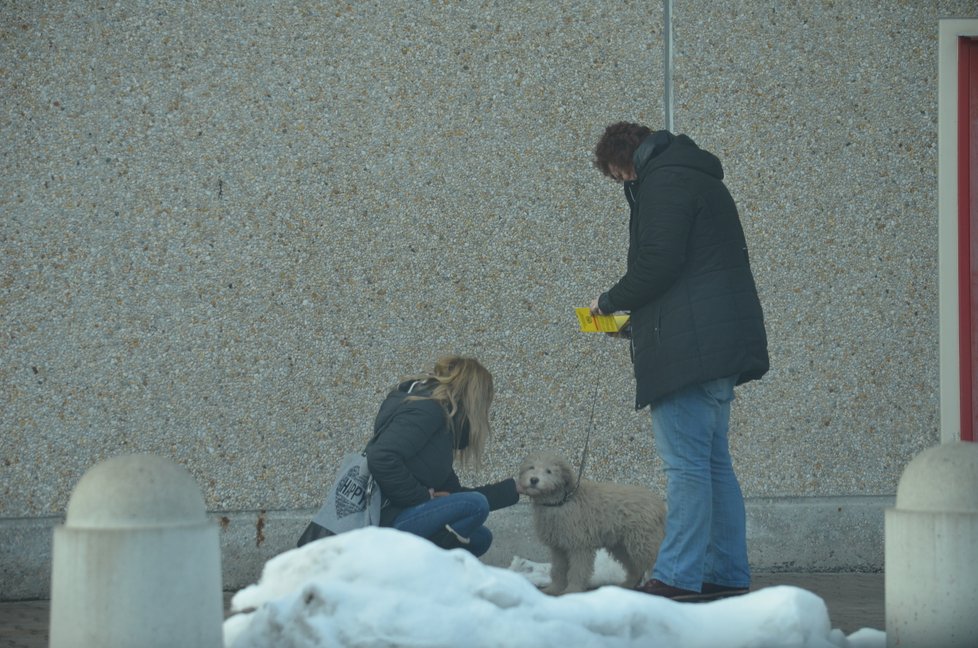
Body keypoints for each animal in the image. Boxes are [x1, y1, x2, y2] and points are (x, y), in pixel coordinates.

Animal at [520, 454, 664, 596]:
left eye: (549, 471)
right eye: (531, 467)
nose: (534, 480)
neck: (560, 501)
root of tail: (659, 503)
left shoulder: (579, 546)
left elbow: (578, 570)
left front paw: (572, 591)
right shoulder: (558, 548)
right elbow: (558, 569)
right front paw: (554, 589)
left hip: (643, 542)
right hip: (621, 546)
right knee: (635, 568)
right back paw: (626, 586)